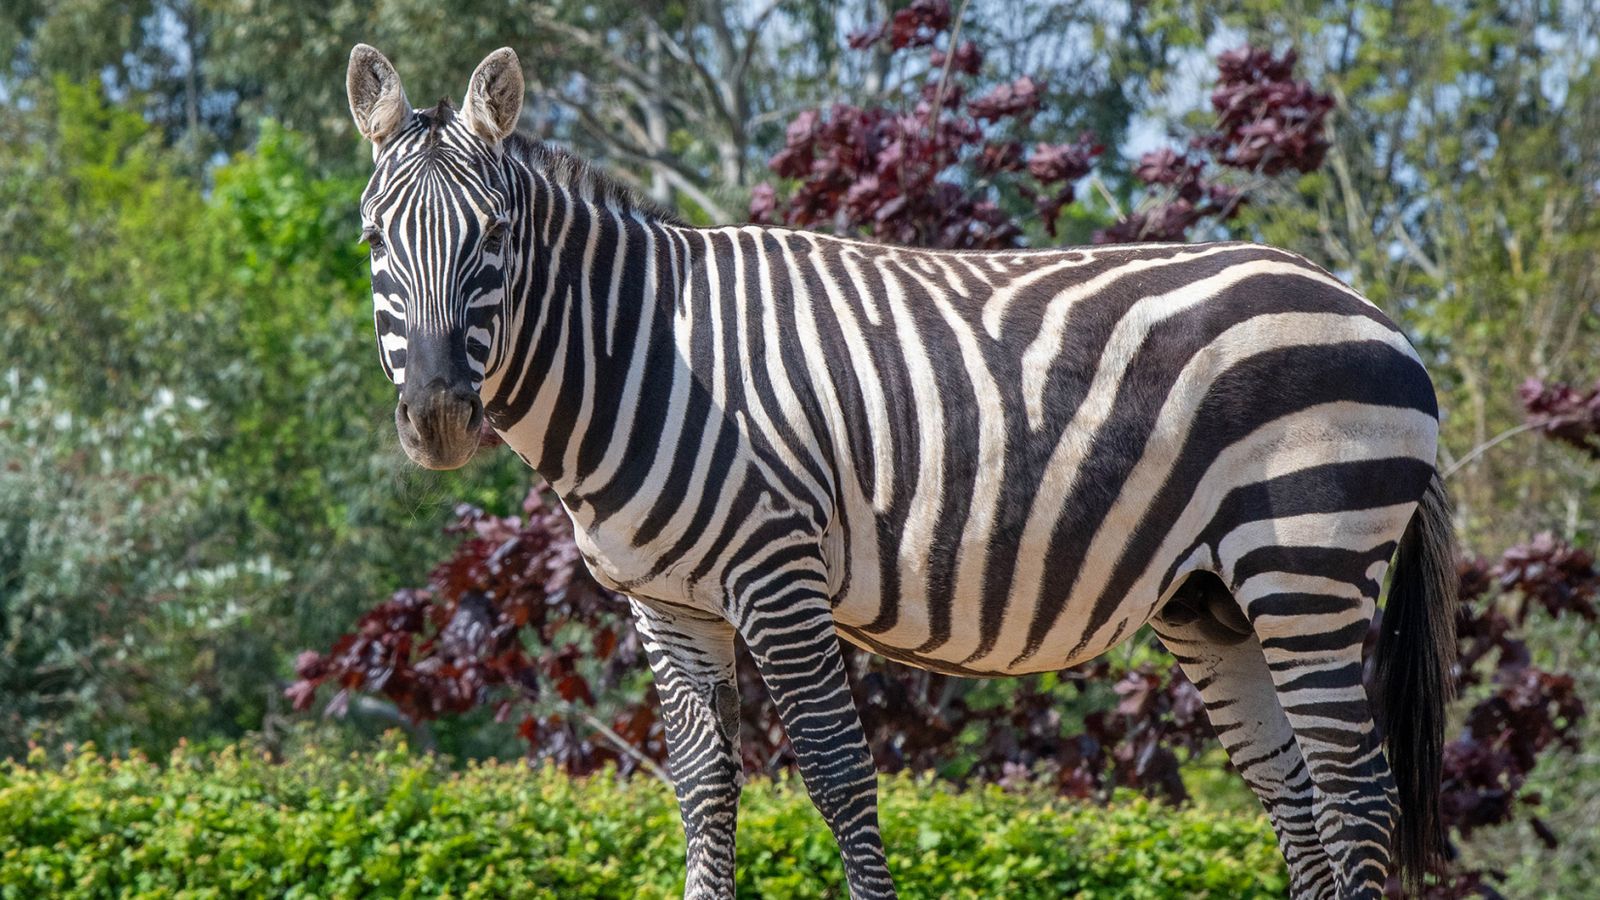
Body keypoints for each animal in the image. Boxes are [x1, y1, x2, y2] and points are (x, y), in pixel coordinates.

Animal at [347, 45, 1452, 890]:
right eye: (371, 240)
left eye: (493, 237)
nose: (438, 418)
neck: (644, 355)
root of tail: (1376, 313)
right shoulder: (668, 605)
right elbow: (703, 793)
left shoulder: (776, 571)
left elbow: (839, 777)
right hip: (1212, 600)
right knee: (1295, 799)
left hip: (1304, 564)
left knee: (1356, 795)